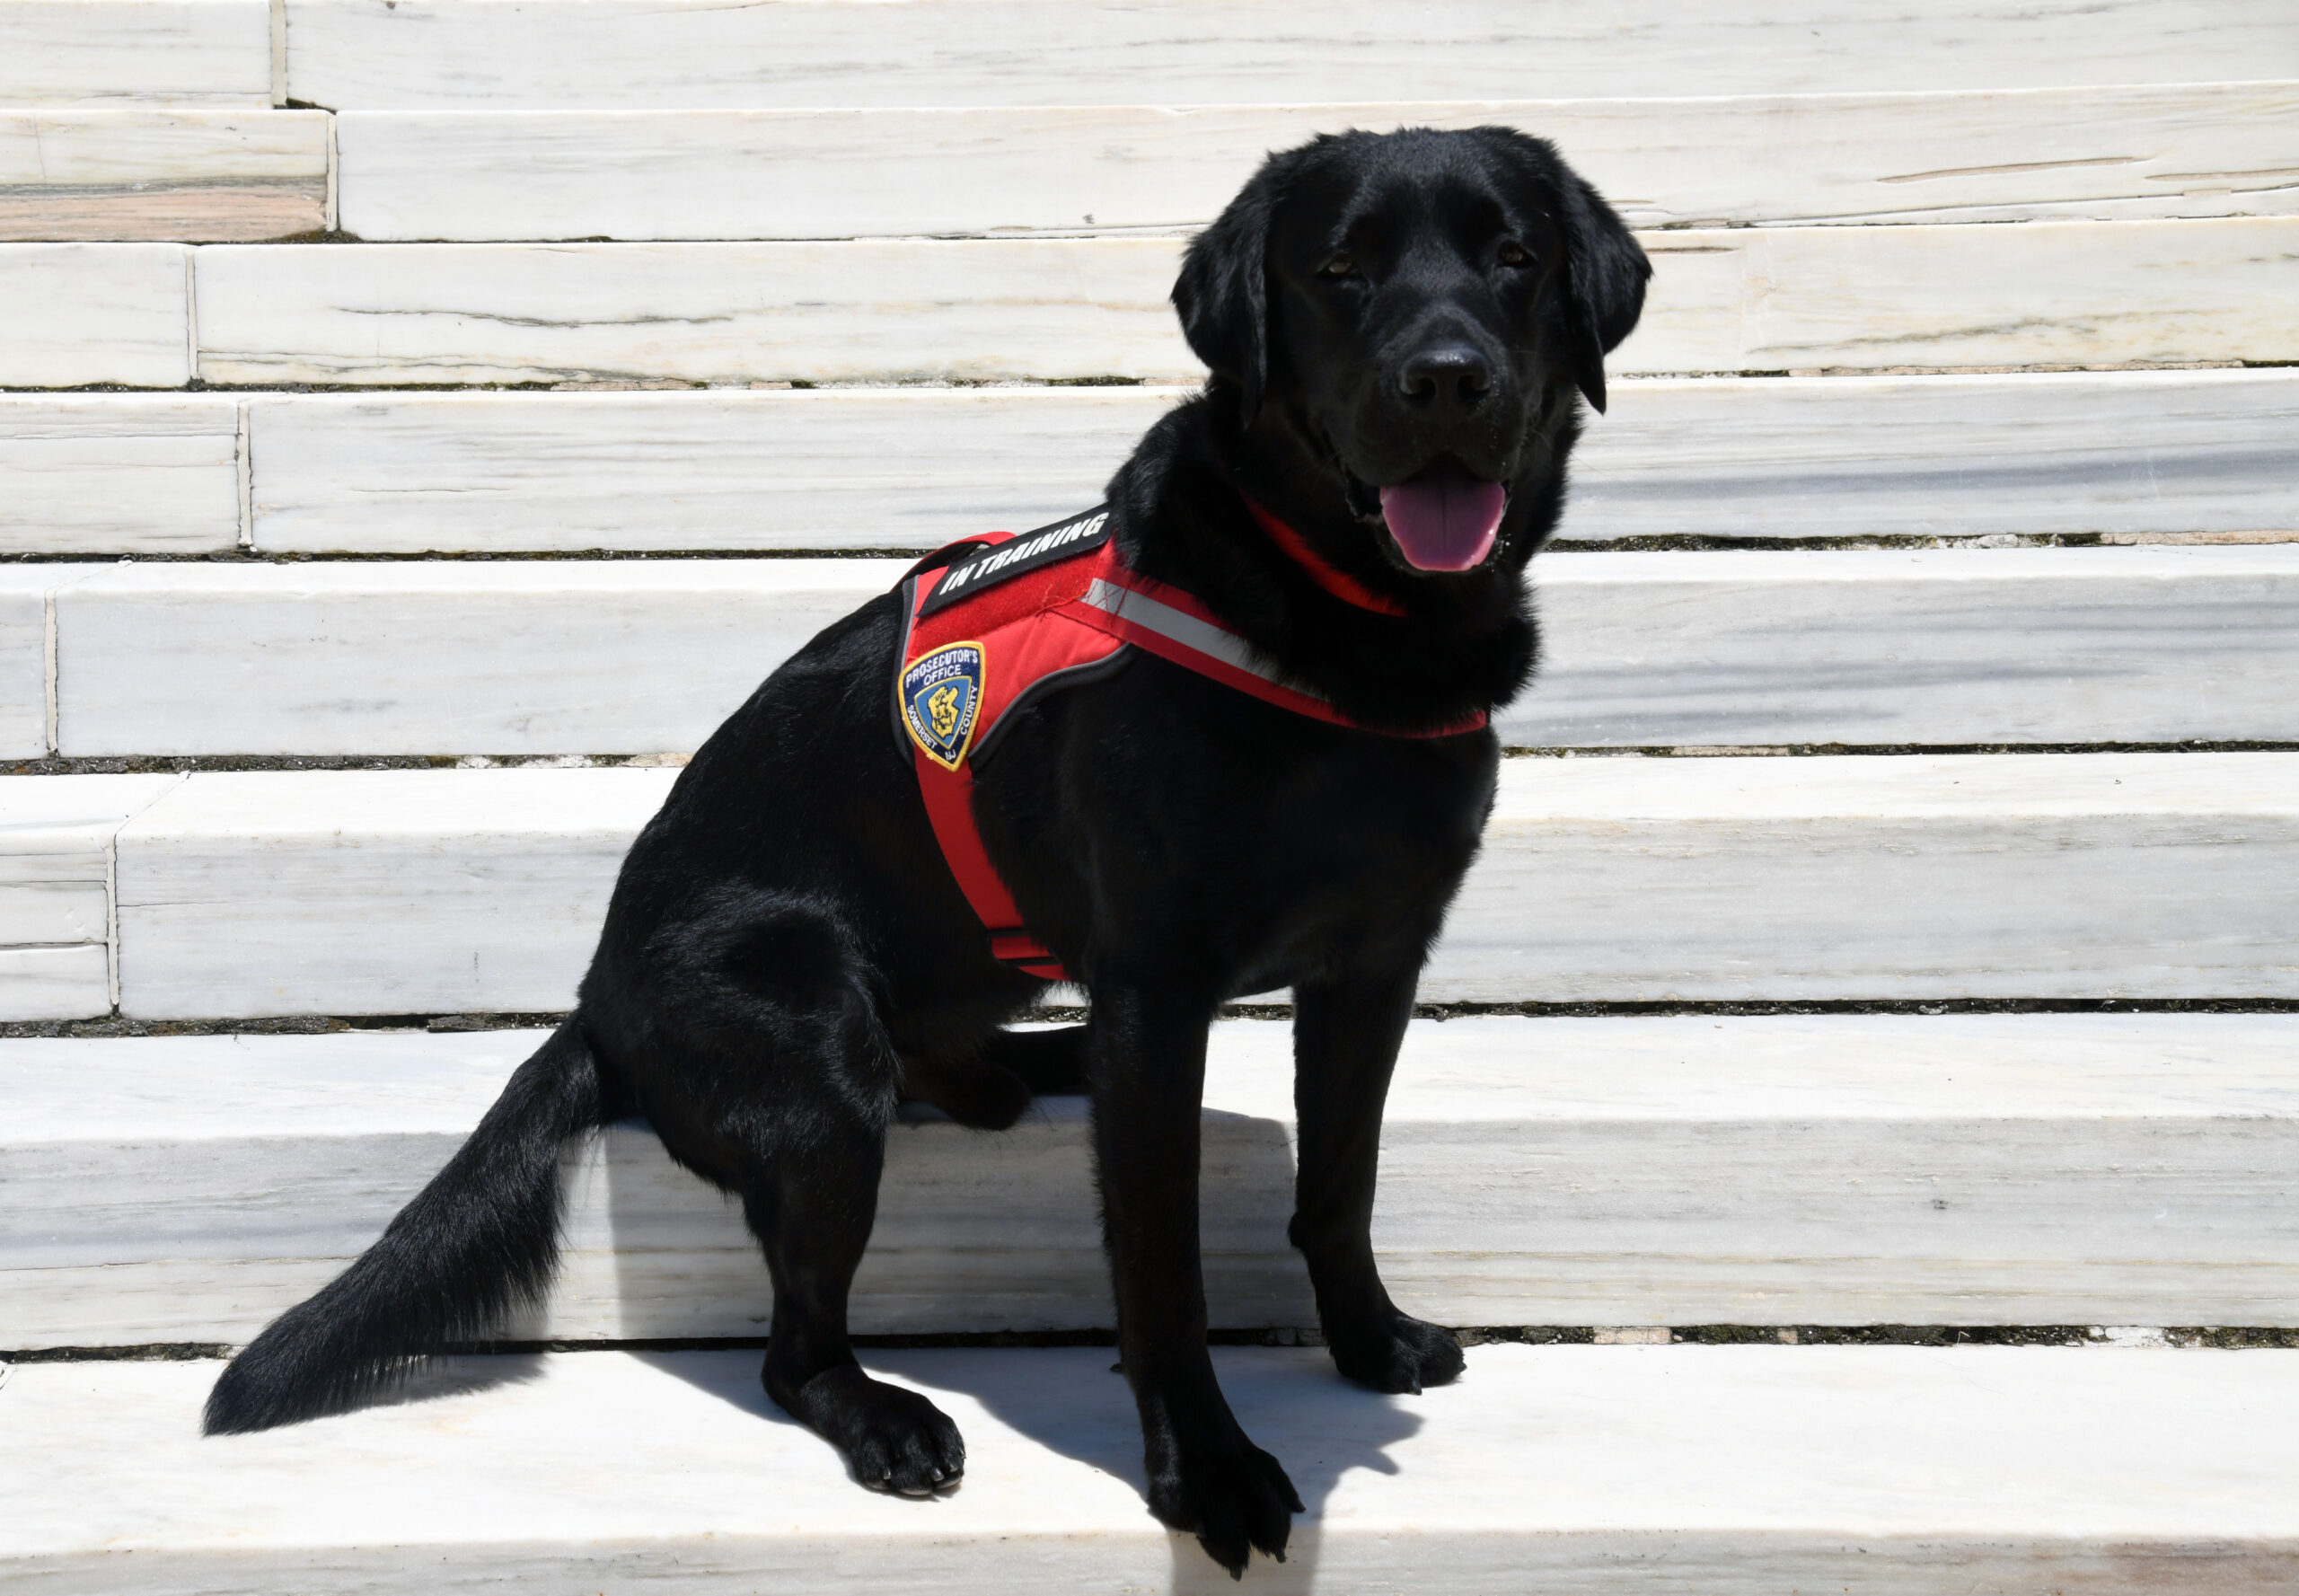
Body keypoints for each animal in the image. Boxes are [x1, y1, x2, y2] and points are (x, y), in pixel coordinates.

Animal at [207, 130, 1645, 1582]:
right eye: (1339, 271)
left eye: (1514, 258)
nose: (1449, 377)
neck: (1358, 640)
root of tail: (593, 1002)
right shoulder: (1159, 979)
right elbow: (1162, 1264)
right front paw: (1207, 1471)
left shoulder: (1375, 963)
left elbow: (1338, 1185)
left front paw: (1365, 1340)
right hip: (816, 1050)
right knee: (795, 1344)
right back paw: (886, 1410)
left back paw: (1029, 1068)